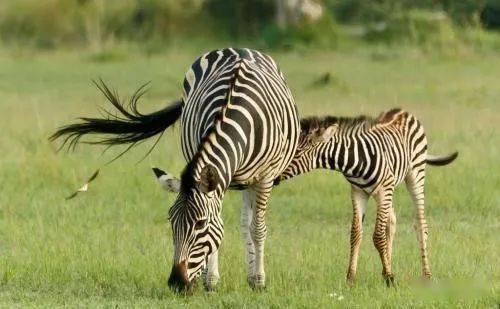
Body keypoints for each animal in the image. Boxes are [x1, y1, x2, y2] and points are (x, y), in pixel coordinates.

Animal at [49, 48, 300, 288]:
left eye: (200, 223)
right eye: (171, 221)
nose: (177, 283)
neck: (237, 117)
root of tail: (238, 49)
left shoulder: (266, 176)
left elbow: (256, 229)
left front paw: (259, 281)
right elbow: (220, 226)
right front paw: (211, 281)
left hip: (252, 179)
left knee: (248, 223)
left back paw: (251, 276)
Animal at [274, 109, 458, 286]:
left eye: (297, 153)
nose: (274, 177)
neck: (354, 161)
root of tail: (403, 111)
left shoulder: (383, 189)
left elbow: (377, 236)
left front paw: (390, 279)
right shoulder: (358, 192)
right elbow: (356, 234)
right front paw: (351, 278)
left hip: (415, 174)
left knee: (420, 224)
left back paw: (426, 275)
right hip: (387, 190)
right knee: (391, 222)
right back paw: (386, 268)